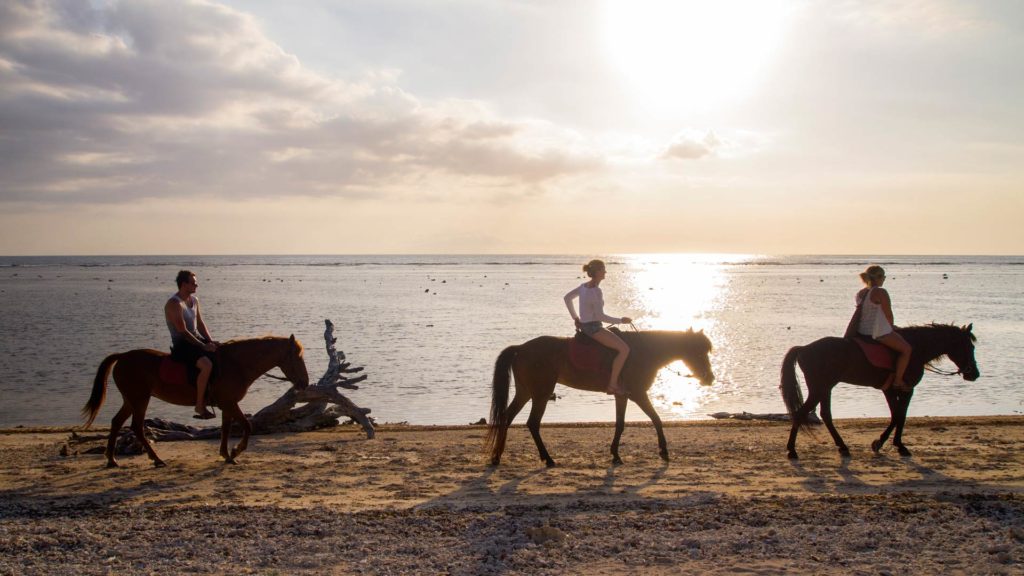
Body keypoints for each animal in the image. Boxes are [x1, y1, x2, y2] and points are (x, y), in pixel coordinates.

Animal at [82, 334, 307, 463]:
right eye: (298, 357)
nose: (305, 382)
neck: (236, 364)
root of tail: (122, 356)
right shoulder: (229, 403)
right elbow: (247, 425)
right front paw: (236, 451)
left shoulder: (227, 404)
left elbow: (226, 428)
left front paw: (227, 455)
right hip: (139, 399)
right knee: (136, 426)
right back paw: (156, 459)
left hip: (131, 399)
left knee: (116, 422)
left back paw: (112, 459)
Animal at [485, 327, 712, 467]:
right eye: (699, 352)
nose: (710, 378)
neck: (643, 352)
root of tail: (521, 348)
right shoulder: (638, 394)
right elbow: (656, 419)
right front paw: (663, 451)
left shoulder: (623, 396)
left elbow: (620, 424)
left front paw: (615, 454)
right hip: (541, 393)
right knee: (532, 423)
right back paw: (548, 459)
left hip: (525, 392)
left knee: (507, 417)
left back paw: (497, 456)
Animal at [782, 323, 974, 457]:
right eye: (970, 347)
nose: (974, 373)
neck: (916, 349)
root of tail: (804, 348)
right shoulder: (905, 389)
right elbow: (899, 416)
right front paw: (889, 444)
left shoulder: (890, 390)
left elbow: (897, 415)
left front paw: (888, 443)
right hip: (819, 387)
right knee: (801, 414)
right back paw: (792, 450)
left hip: (825, 387)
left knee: (825, 415)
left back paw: (842, 446)